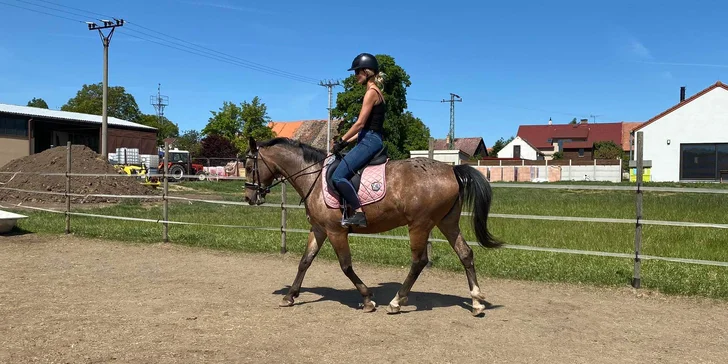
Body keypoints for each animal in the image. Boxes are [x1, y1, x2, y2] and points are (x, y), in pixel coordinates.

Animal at [242, 136, 504, 316]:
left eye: (248, 166)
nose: (248, 197)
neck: (313, 177)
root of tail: (452, 169)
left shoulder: (336, 231)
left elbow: (346, 266)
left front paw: (368, 299)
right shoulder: (319, 229)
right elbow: (304, 261)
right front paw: (290, 296)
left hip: (419, 225)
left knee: (419, 261)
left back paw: (397, 302)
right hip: (446, 222)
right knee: (465, 253)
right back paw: (476, 302)